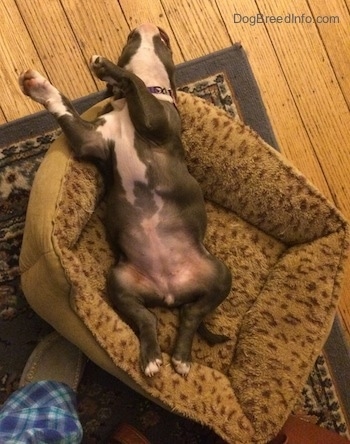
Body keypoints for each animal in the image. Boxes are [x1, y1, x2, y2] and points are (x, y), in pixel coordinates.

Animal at [19, 23, 232, 378]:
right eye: (131, 38)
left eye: (164, 40)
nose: (147, 25)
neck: (126, 110)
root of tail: (169, 294)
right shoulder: (91, 138)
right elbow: (62, 105)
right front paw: (39, 87)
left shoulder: (156, 121)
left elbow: (135, 84)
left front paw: (106, 68)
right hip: (120, 283)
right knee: (148, 319)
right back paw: (152, 359)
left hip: (220, 276)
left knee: (191, 315)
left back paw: (181, 358)